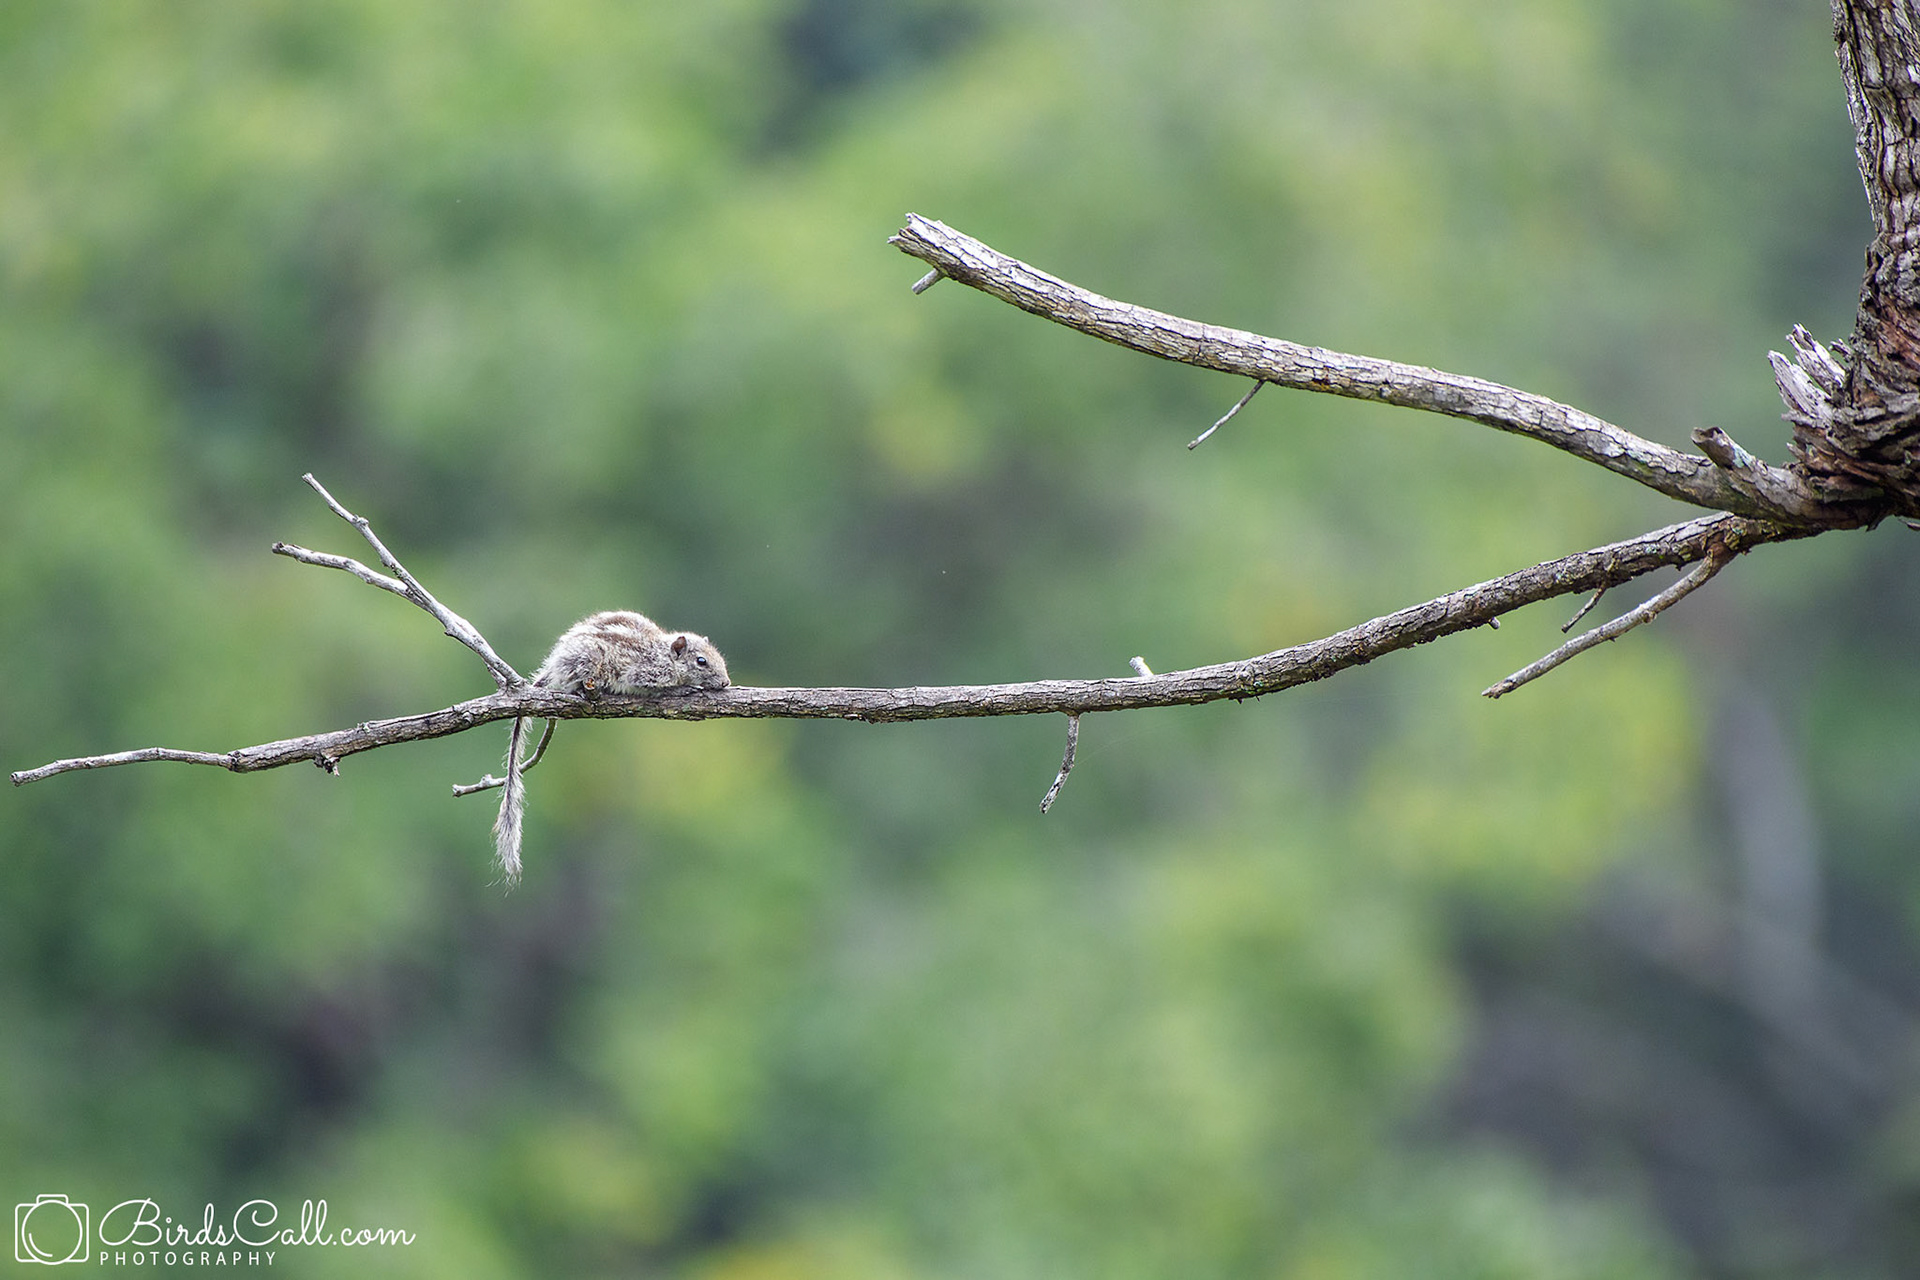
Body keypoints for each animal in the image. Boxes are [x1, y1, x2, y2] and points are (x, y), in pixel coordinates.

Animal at [494, 611, 730, 882]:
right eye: (701, 661)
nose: (726, 682)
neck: (664, 656)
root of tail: (553, 663)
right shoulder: (644, 674)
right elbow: (660, 689)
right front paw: (685, 688)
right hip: (588, 662)